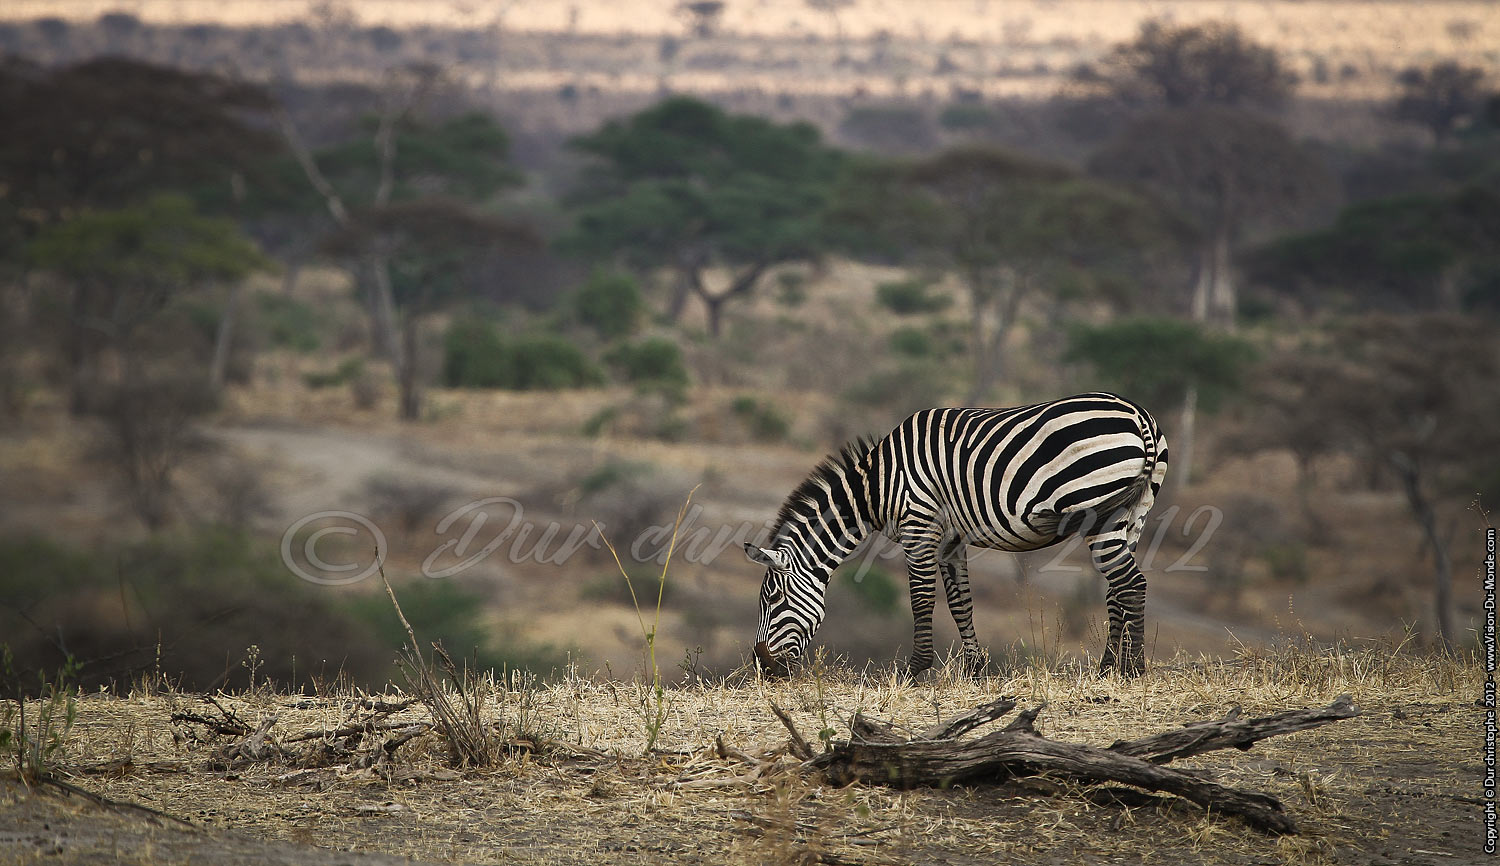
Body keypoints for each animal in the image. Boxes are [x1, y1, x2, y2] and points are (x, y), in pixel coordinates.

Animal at [746, 392, 1168, 679]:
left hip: (1099, 512)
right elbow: (960, 603)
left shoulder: (919, 527)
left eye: (774, 598)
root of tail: (1140, 415)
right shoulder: (951, 541)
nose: (761, 665)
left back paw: (1133, 669)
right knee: (1117, 588)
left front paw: (913, 672)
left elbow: (920, 601)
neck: (878, 485)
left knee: (1132, 583)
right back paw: (1107, 668)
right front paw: (975, 671)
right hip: (1132, 513)